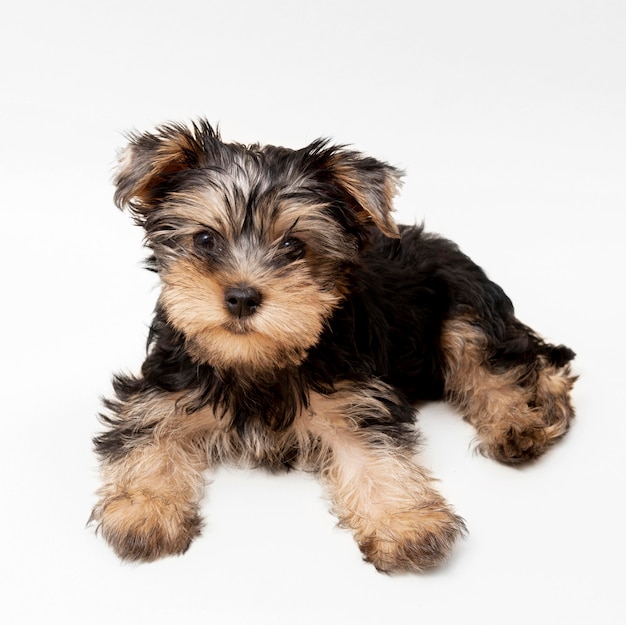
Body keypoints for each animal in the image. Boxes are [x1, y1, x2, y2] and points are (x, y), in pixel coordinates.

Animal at [89, 119, 576, 572]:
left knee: (507, 359)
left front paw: (407, 524)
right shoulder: (163, 390)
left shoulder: (353, 400)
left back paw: (525, 419)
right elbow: (147, 437)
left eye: (293, 246)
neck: (258, 359)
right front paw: (144, 511)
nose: (242, 297)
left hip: (462, 305)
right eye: (205, 239)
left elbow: (375, 455)